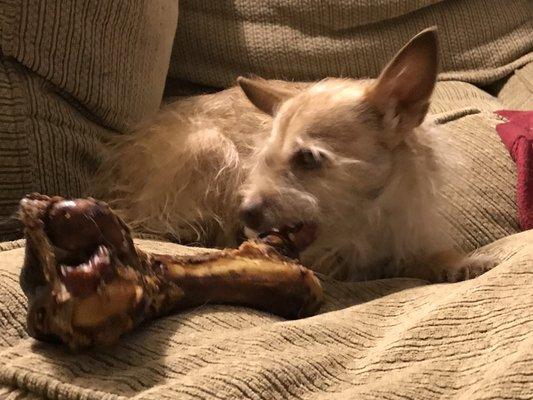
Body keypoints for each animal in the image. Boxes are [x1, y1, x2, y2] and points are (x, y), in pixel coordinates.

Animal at [92, 27, 494, 282]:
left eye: (307, 159)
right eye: (263, 159)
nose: (244, 213)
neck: (370, 220)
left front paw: (457, 262)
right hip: (208, 146)